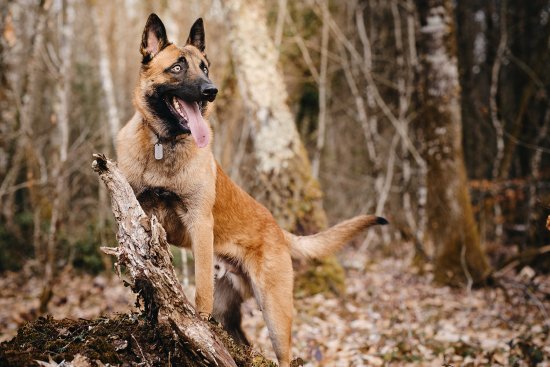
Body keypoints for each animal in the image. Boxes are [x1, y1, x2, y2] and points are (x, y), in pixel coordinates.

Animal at [116, 12, 388, 366]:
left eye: (205, 67)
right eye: (176, 67)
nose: (211, 91)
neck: (163, 145)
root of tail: (277, 228)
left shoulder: (199, 223)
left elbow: (200, 288)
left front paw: (195, 324)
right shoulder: (139, 213)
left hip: (275, 312)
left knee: (282, 354)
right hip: (233, 311)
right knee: (243, 343)